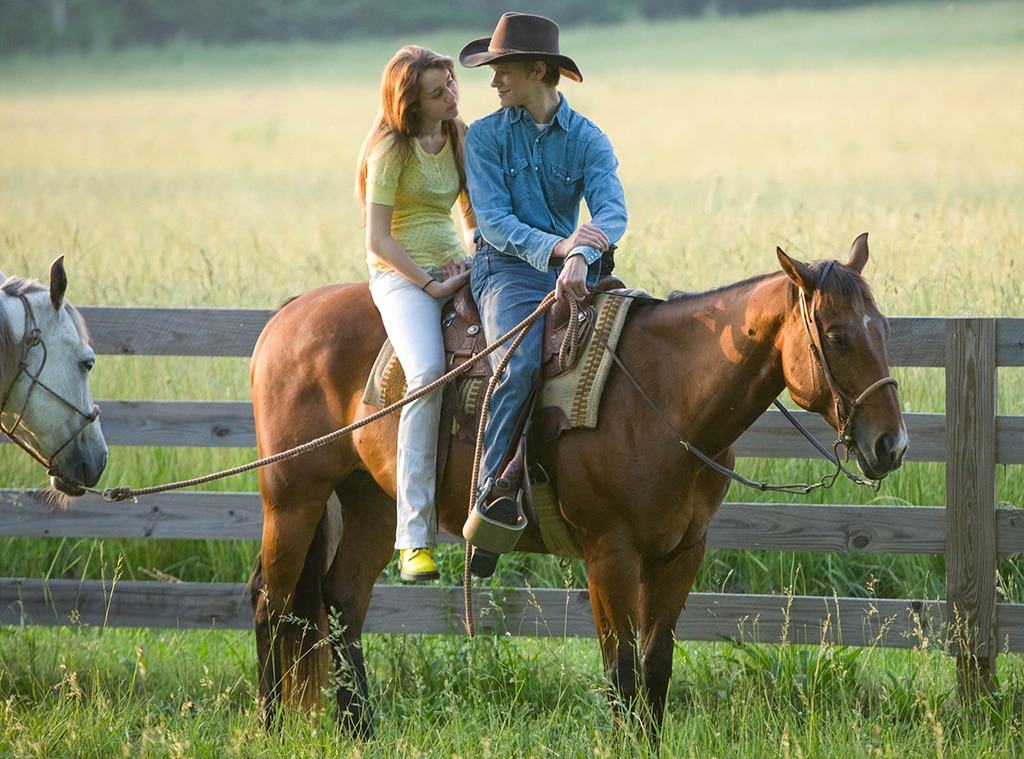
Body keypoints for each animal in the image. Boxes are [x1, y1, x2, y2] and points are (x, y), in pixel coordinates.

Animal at [247, 233, 905, 737]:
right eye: (836, 334)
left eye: (883, 329)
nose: (891, 446)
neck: (664, 394)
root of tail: (288, 312)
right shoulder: (608, 553)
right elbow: (621, 673)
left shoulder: (680, 553)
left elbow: (655, 668)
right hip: (293, 495)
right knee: (269, 602)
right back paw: (272, 724)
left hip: (372, 500)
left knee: (341, 603)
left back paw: (360, 729)